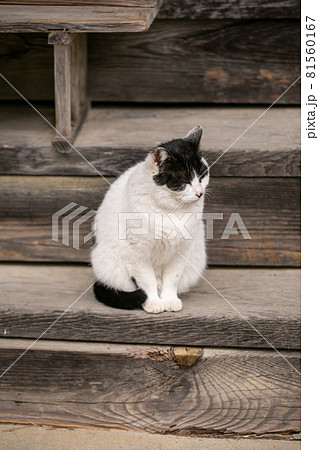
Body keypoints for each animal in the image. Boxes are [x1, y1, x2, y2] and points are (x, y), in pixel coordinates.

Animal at [90, 123, 210, 312]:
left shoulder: (182, 251)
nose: (200, 193)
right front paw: (152, 302)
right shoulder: (137, 253)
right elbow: (147, 281)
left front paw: (169, 300)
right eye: (184, 182)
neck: (170, 209)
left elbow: (172, 279)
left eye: (202, 176)